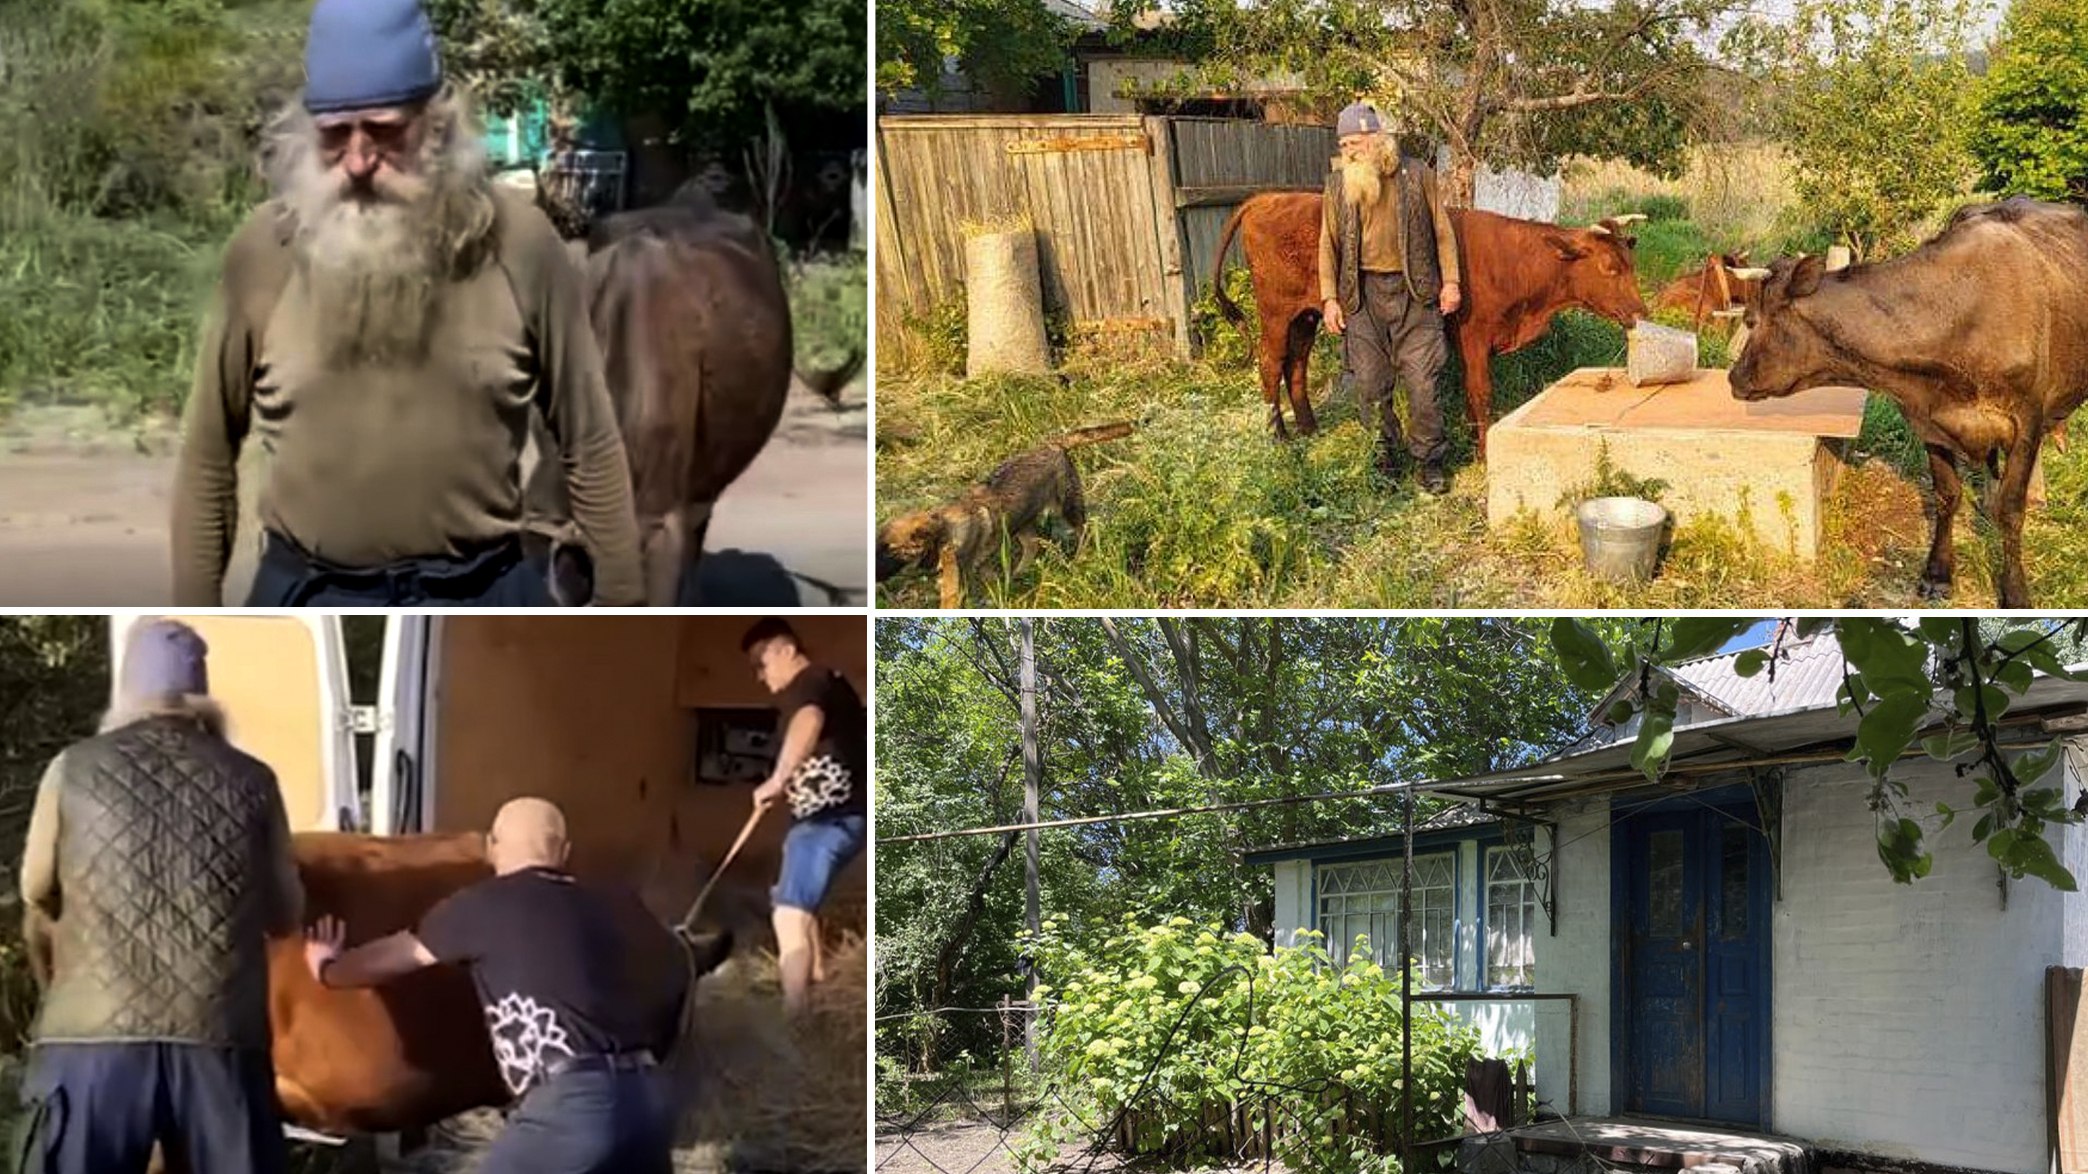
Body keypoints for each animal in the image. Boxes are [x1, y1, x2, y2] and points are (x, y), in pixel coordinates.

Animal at [872, 419, 1135, 601]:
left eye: (890, 549)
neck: (944, 532)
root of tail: (1053, 443)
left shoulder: (956, 584)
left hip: (1067, 506)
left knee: (1084, 531)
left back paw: (1081, 559)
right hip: (1022, 519)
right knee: (1033, 545)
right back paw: (1019, 574)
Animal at [1211, 190, 1645, 449]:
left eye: (1631, 262)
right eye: (1609, 267)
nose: (1642, 312)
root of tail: (1268, 198)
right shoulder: (1473, 334)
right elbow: (1480, 391)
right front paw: (1482, 450)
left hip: (1306, 315)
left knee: (1296, 364)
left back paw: (1308, 429)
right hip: (1275, 312)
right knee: (1270, 363)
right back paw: (1279, 436)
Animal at [1720, 195, 2088, 601]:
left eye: (1751, 320)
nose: (1733, 378)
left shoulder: (2026, 420)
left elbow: (2010, 510)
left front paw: (2016, 592)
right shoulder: (1930, 419)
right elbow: (1947, 495)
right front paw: (1938, 573)